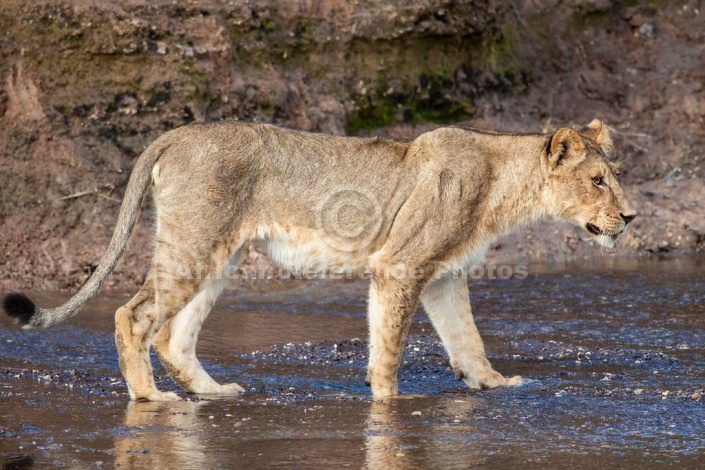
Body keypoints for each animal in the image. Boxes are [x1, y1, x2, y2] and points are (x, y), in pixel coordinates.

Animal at [2, 118, 636, 400]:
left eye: (615, 175)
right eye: (598, 180)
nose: (630, 218)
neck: (505, 187)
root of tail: (179, 133)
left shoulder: (444, 278)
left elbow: (468, 339)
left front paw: (495, 383)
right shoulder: (400, 266)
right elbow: (389, 345)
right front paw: (389, 402)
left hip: (220, 255)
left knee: (173, 336)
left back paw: (213, 392)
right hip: (193, 243)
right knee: (131, 316)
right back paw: (150, 397)